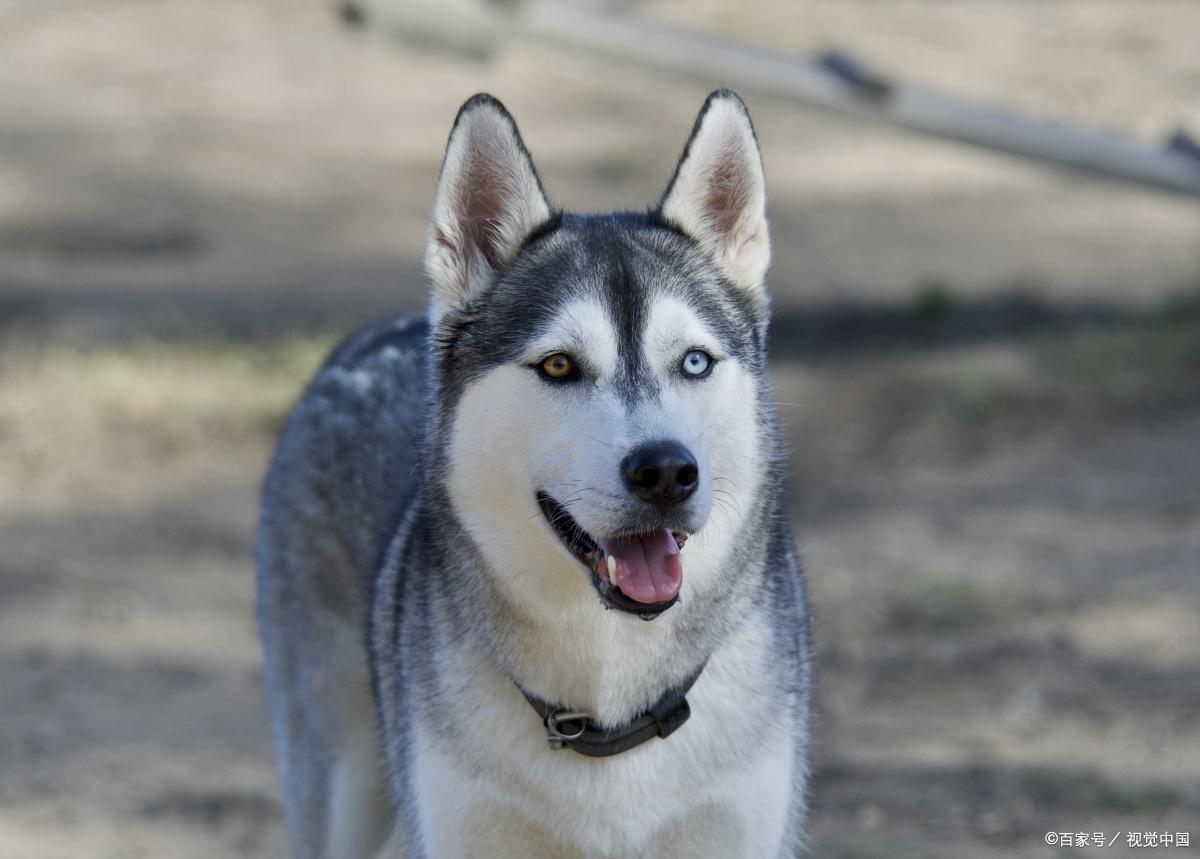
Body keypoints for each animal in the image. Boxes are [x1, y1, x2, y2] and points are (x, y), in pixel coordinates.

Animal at [258, 90, 811, 854]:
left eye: (695, 361)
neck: (607, 709)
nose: (666, 471)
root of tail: (363, 340)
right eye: (558, 365)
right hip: (340, 785)